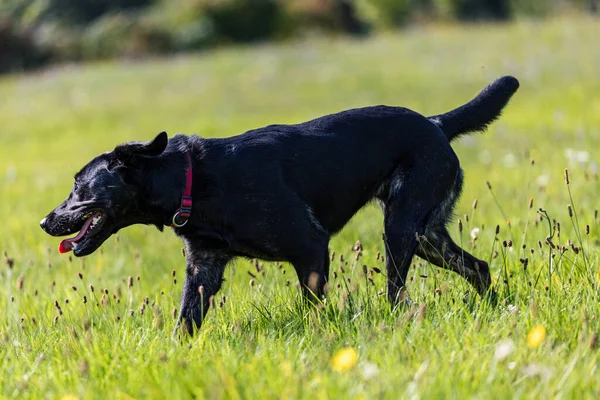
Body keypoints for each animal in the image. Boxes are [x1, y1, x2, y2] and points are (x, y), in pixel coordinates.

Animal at [42, 75, 516, 334]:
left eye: (78, 187)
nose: (46, 222)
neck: (191, 178)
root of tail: (436, 124)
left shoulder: (310, 247)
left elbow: (313, 306)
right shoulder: (204, 268)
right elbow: (185, 322)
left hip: (401, 230)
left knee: (398, 292)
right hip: (427, 235)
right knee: (479, 267)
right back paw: (498, 308)